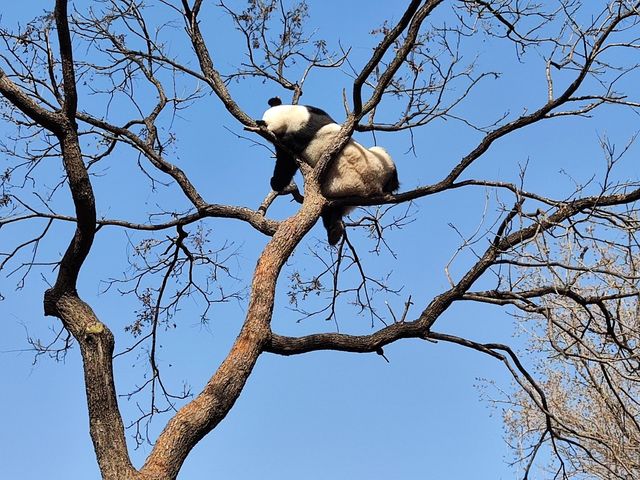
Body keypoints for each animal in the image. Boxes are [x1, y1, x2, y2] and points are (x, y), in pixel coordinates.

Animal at [256, 99, 398, 246]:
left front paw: (275, 183)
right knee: (330, 212)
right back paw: (335, 231)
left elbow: (287, 157)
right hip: (335, 190)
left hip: (379, 163)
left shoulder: (308, 121)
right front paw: (276, 182)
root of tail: (369, 188)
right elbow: (286, 164)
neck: (288, 117)